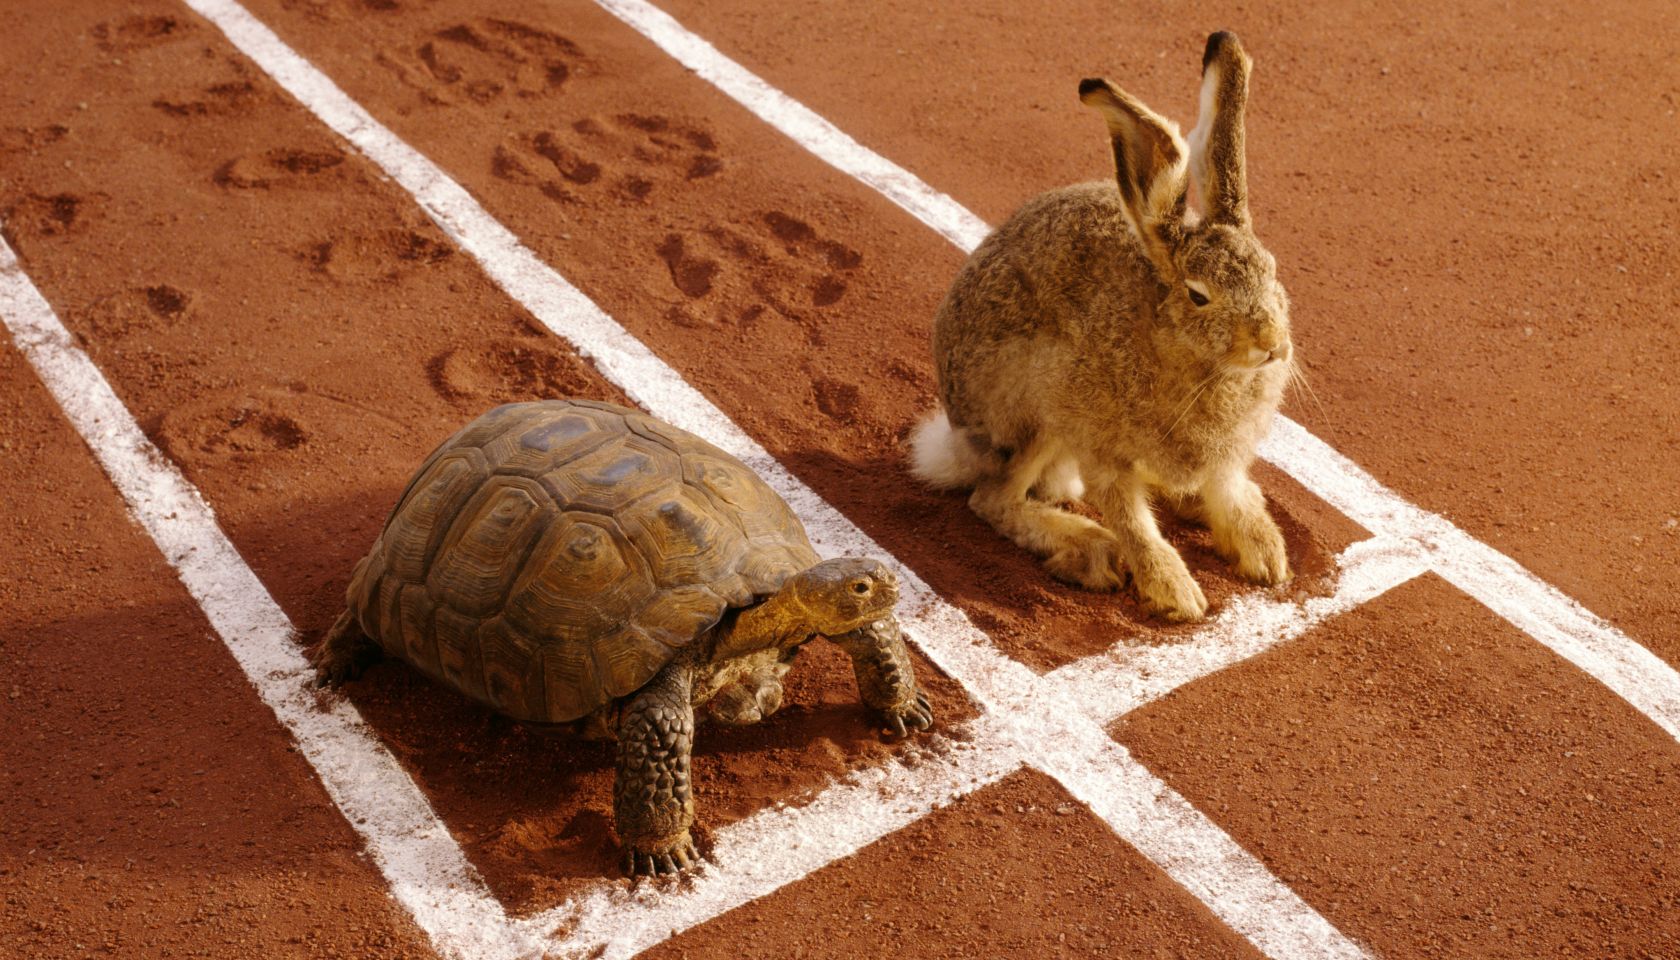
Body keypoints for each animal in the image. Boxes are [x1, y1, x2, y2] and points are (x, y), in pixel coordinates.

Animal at [910, 31, 1294, 622]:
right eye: (1199, 295)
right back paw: (1089, 549)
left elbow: (1228, 492)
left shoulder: (1226, 459)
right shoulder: (1099, 444)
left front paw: (1266, 555)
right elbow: (1132, 521)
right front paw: (1176, 594)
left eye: (1271, 271)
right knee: (995, 498)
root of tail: (956, 440)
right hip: (1034, 409)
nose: (1272, 345)